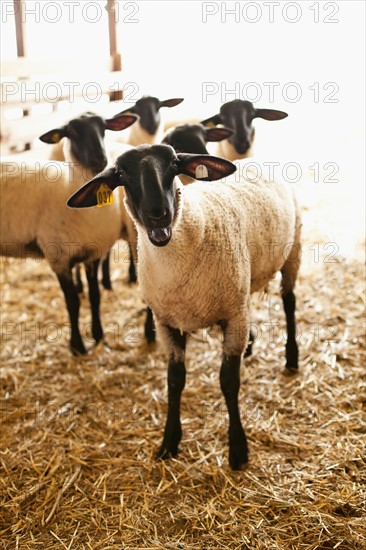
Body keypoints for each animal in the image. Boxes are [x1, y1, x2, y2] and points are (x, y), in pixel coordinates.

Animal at [0, 112, 138, 358]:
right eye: (72, 132)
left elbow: (95, 296)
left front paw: (99, 336)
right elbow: (72, 302)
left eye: (104, 128)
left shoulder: (93, 254)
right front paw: (77, 346)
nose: (100, 160)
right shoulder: (59, 259)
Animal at [68, 144, 300, 472]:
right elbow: (174, 381)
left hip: (294, 250)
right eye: (122, 174)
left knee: (289, 302)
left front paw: (238, 449)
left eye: (174, 164)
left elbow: (229, 382)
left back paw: (291, 357)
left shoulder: (232, 316)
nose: (158, 214)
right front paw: (169, 442)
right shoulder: (168, 322)